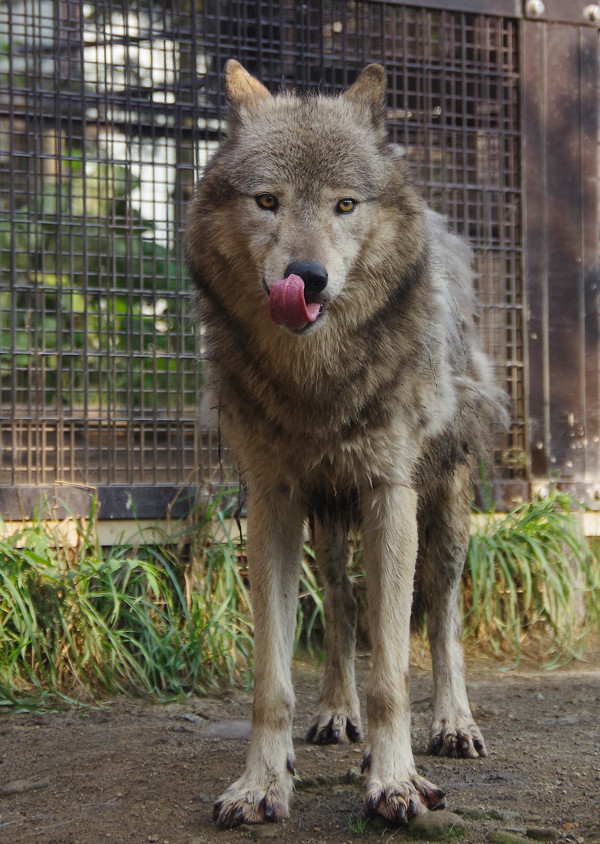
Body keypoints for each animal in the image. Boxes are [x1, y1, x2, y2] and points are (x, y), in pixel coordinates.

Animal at [186, 62, 506, 828]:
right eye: (267, 201)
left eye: (345, 205)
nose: (307, 276)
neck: (316, 381)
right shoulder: (272, 501)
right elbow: (272, 681)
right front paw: (260, 786)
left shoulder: (390, 493)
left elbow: (392, 669)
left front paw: (395, 782)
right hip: (327, 517)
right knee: (341, 606)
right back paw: (336, 712)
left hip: (443, 511)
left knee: (442, 617)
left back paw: (454, 724)